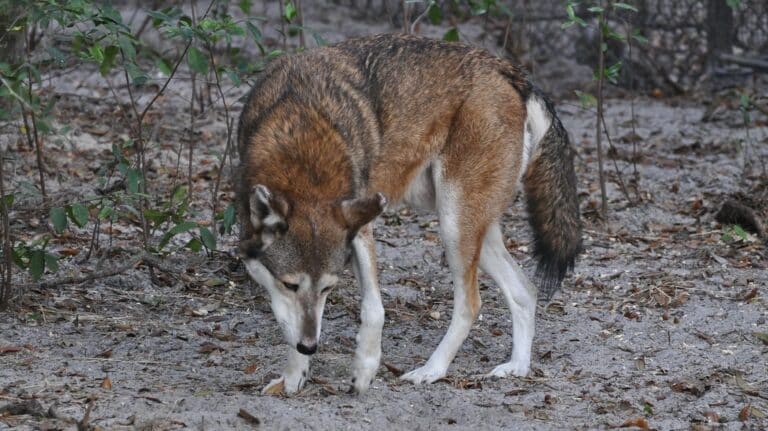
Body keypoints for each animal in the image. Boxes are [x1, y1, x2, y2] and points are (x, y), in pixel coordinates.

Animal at [236, 33, 581, 395]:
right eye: (290, 285)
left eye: (329, 288)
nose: (310, 346)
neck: (303, 149)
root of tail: (510, 71)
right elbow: (289, 322)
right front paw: (293, 377)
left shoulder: (361, 229)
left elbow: (374, 310)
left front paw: (365, 371)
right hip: (475, 232)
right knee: (525, 291)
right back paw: (516, 367)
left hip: (453, 226)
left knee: (471, 305)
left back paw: (432, 370)